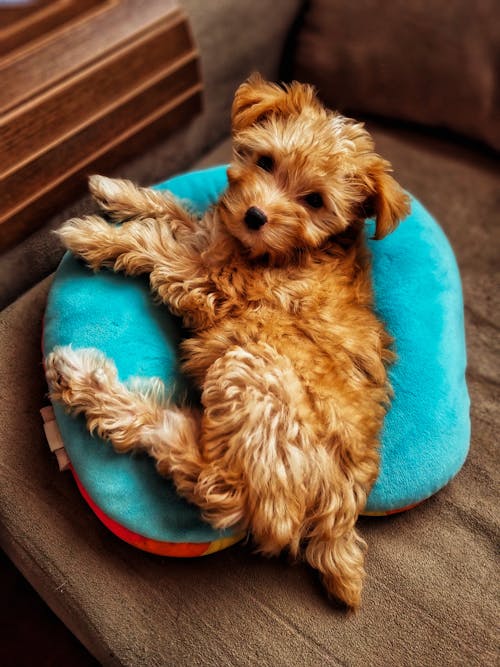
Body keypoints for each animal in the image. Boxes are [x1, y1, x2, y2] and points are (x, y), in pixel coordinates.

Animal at [45, 74, 408, 612]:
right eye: (266, 162)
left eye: (315, 201)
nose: (255, 216)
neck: (296, 250)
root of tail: (338, 515)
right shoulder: (213, 235)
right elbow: (178, 213)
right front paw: (118, 191)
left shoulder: (211, 284)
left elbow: (158, 244)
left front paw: (94, 234)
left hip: (254, 374)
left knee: (216, 484)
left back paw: (86, 383)